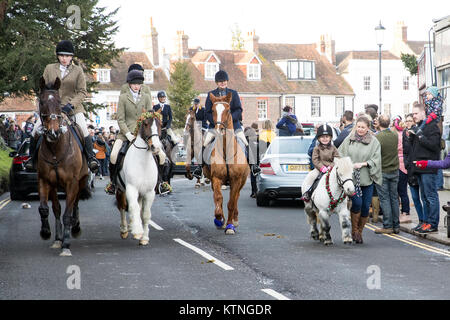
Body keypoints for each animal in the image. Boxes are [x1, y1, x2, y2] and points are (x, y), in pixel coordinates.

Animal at [37, 77, 90, 258]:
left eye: (60, 102)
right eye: (41, 102)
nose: (53, 132)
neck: (55, 148)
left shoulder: (72, 183)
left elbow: (68, 214)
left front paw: (66, 245)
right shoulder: (44, 180)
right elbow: (45, 209)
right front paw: (46, 233)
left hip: (81, 181)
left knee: (74, 206)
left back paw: (75, 228)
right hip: (54, 186)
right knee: (56, 209)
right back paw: (58, 238)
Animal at [203, 92, 250, 235]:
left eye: (228, 110)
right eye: (213, 110)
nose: (220, 129)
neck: (225, 150)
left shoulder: (236, 180)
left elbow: (231, 203)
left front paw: (229, 226)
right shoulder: (216, 178)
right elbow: (218, 198)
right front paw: (219, 219)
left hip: (242, 181)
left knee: (236, 198)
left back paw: (234, 219)